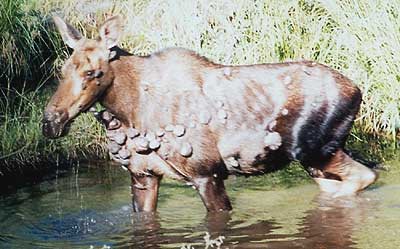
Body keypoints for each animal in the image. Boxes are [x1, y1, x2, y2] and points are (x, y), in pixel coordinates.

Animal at [43, 16, 378, 212]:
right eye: (63, 69)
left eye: (92, 72)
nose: (50, 122)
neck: (131, 110)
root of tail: (358, 90)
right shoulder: (142, 176)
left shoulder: (207, 173)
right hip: (315, 160)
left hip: (316, 149)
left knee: (365, 176)